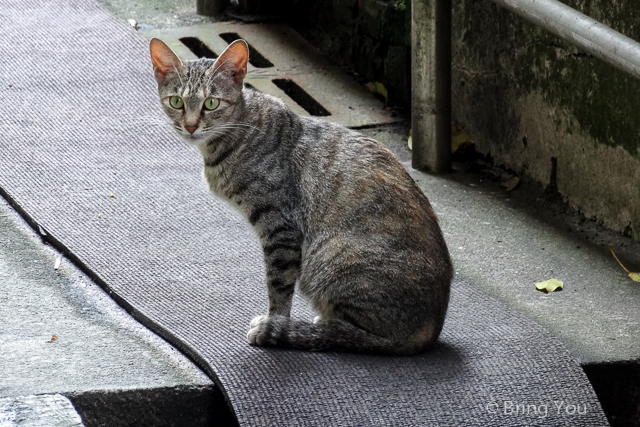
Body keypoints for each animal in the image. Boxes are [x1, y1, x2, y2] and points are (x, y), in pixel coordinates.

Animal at [148, 38, 452, 356]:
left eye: (211, 103)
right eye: (176, 102)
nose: (191, 126)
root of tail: (431, 329)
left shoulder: (281, 227)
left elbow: (278, 286)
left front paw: (275, 324)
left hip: (328, 262)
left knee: (366, 338)